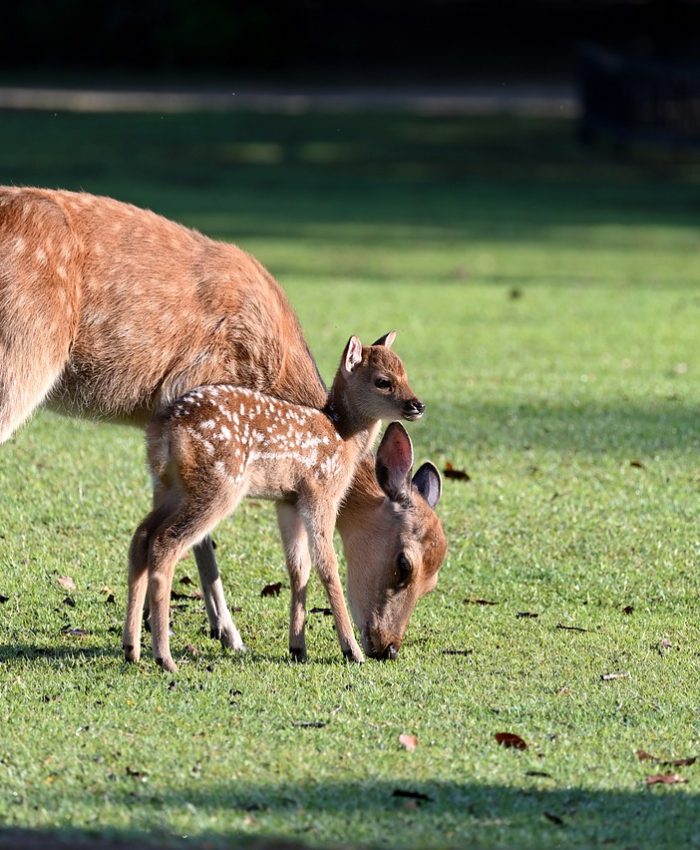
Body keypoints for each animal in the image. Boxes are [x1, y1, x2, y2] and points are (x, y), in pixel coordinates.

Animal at [123, 332, 424, 668]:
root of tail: (162, 430)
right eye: (383, 381)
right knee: (166, 543)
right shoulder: (320, 492)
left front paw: (298, 648)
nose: (417, 404)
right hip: (218, 485)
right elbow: (328, 567)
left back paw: (131, 648)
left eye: (405, 373)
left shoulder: (288, 500)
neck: (342, 435)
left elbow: (298, 568)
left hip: (170, 487)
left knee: (142, 537)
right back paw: (164, 657)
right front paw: (352, 650)